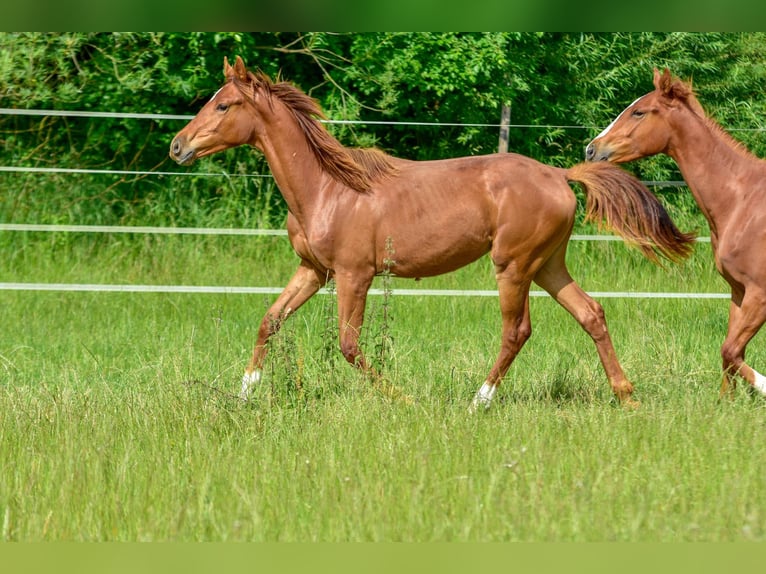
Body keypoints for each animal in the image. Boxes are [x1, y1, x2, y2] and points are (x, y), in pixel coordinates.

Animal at [170, 56, 694, 410]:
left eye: (224, 104)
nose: (177, 146)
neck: (326, 188)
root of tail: (560, 175)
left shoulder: (355, 275)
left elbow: (349, 346)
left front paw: (403, 399)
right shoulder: (314, 270)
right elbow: (270, 320)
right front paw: (244, 393)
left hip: (513, 266)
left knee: (517, 330)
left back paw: (479, 400)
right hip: (548, 264)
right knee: (591, 314)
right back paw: (626, 396)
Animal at [586, 67, 766, 398]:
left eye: (639, 112)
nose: (592, 149)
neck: (742, 200)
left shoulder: (759, 294)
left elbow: (730, 351)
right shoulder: (739, 292)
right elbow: (730, 354)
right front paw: (726, 402)